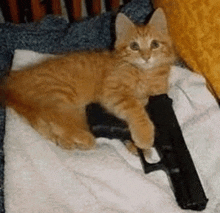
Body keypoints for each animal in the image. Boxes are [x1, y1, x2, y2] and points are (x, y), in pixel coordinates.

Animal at [1, 8, 176, 151]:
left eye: (155, 44)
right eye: (134, 46)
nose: (146, 57)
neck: (143, 73)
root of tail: (13, 79)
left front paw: (136, 147)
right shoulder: (113, 91)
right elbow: (135, 108)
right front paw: (144, 135)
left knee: (48, 125)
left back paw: (68, 142)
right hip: (60, 99)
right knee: (59, 121)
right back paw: (84, 139)